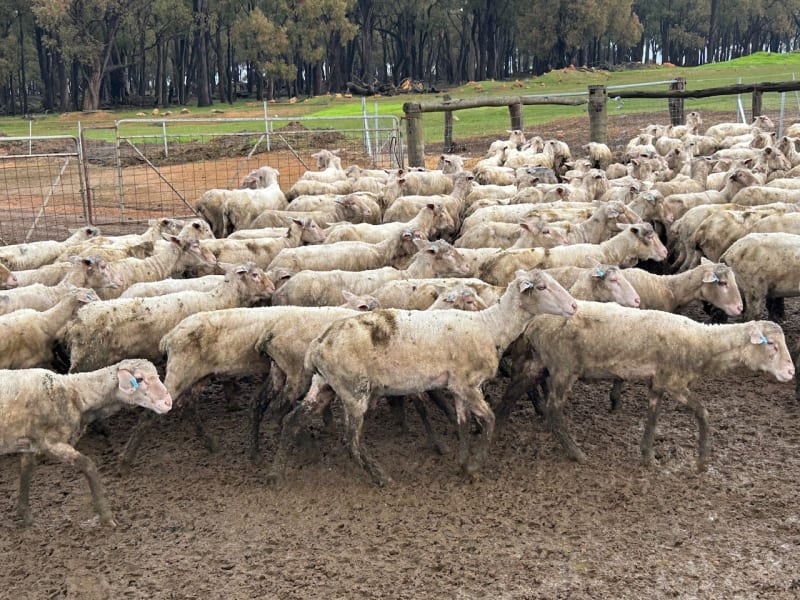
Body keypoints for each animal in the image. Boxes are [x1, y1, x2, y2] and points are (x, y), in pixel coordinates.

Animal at [0, 358, 172, 526]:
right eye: (139, 379)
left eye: (157, 375)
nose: (168, 402)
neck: (75, 393)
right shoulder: (51, 443)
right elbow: (88, 465)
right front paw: (106, 516)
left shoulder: (30, 443)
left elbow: (26, 470)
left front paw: (25, 515)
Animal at [281, 269, 577, 485]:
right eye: (542, 287)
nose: (574, 306)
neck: (490, 326)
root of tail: (318, 343)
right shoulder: (469, 385)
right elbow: (490, 420)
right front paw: (475, 465)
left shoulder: (457, 385)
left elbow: (462, 423)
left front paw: (462, 462)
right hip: (354, 391)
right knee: (350, 440)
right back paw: (381, 477)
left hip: (324, 385)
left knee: (293, 419)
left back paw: (281, 470)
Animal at [515, 302, 792, 470]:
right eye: (772, 345)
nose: (790, 372)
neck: (703, 343)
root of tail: (535, 323)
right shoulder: (675, 381)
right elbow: (703, 412)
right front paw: (702, 460)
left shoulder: (658, 381)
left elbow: (653, 415)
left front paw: (648, 455)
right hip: (563, 368)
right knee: (554, 410)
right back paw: (575, 452)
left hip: (538, 361)